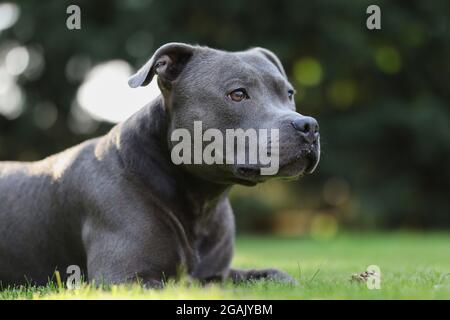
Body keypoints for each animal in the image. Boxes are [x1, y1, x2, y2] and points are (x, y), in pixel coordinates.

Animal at [0, 43, 324, 288]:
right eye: (237, 94)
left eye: (289, 93)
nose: (309, 125)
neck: (200, 199)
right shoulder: (123, 278)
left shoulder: (218, 271)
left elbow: (275, 274)